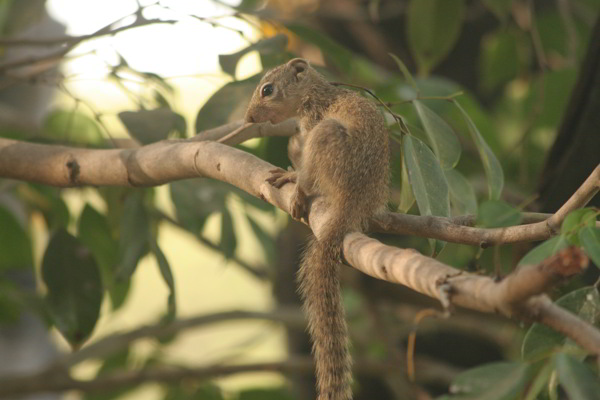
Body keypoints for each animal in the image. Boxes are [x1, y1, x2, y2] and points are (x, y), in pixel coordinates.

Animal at [244, 57, 390, 400]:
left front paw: (294, 180)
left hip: (327, 137)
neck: (316, 94)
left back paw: (298, 186)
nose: (249, 118)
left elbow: (305, 170)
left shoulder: (312, 122)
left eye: (267, 90)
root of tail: (353, 201)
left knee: (313, 174)